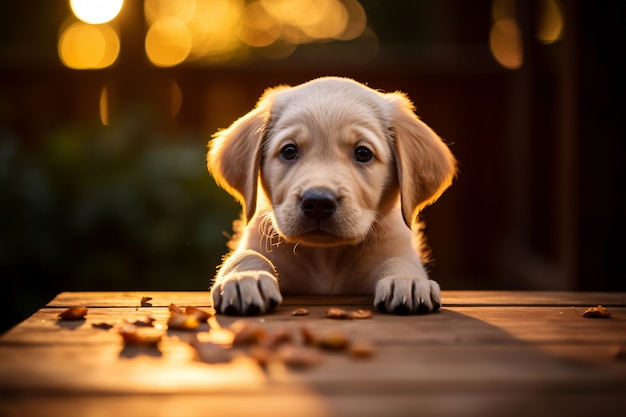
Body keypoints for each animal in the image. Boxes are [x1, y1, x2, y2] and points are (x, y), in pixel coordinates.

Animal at [206, 75, 454, 316]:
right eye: (289, 151)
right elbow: (247, 255)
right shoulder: (256, 243)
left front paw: (406, 280)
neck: (325, 256)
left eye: (363, 153)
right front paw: (245, 278)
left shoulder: (394, 247)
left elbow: (399, 261)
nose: (317, 202)